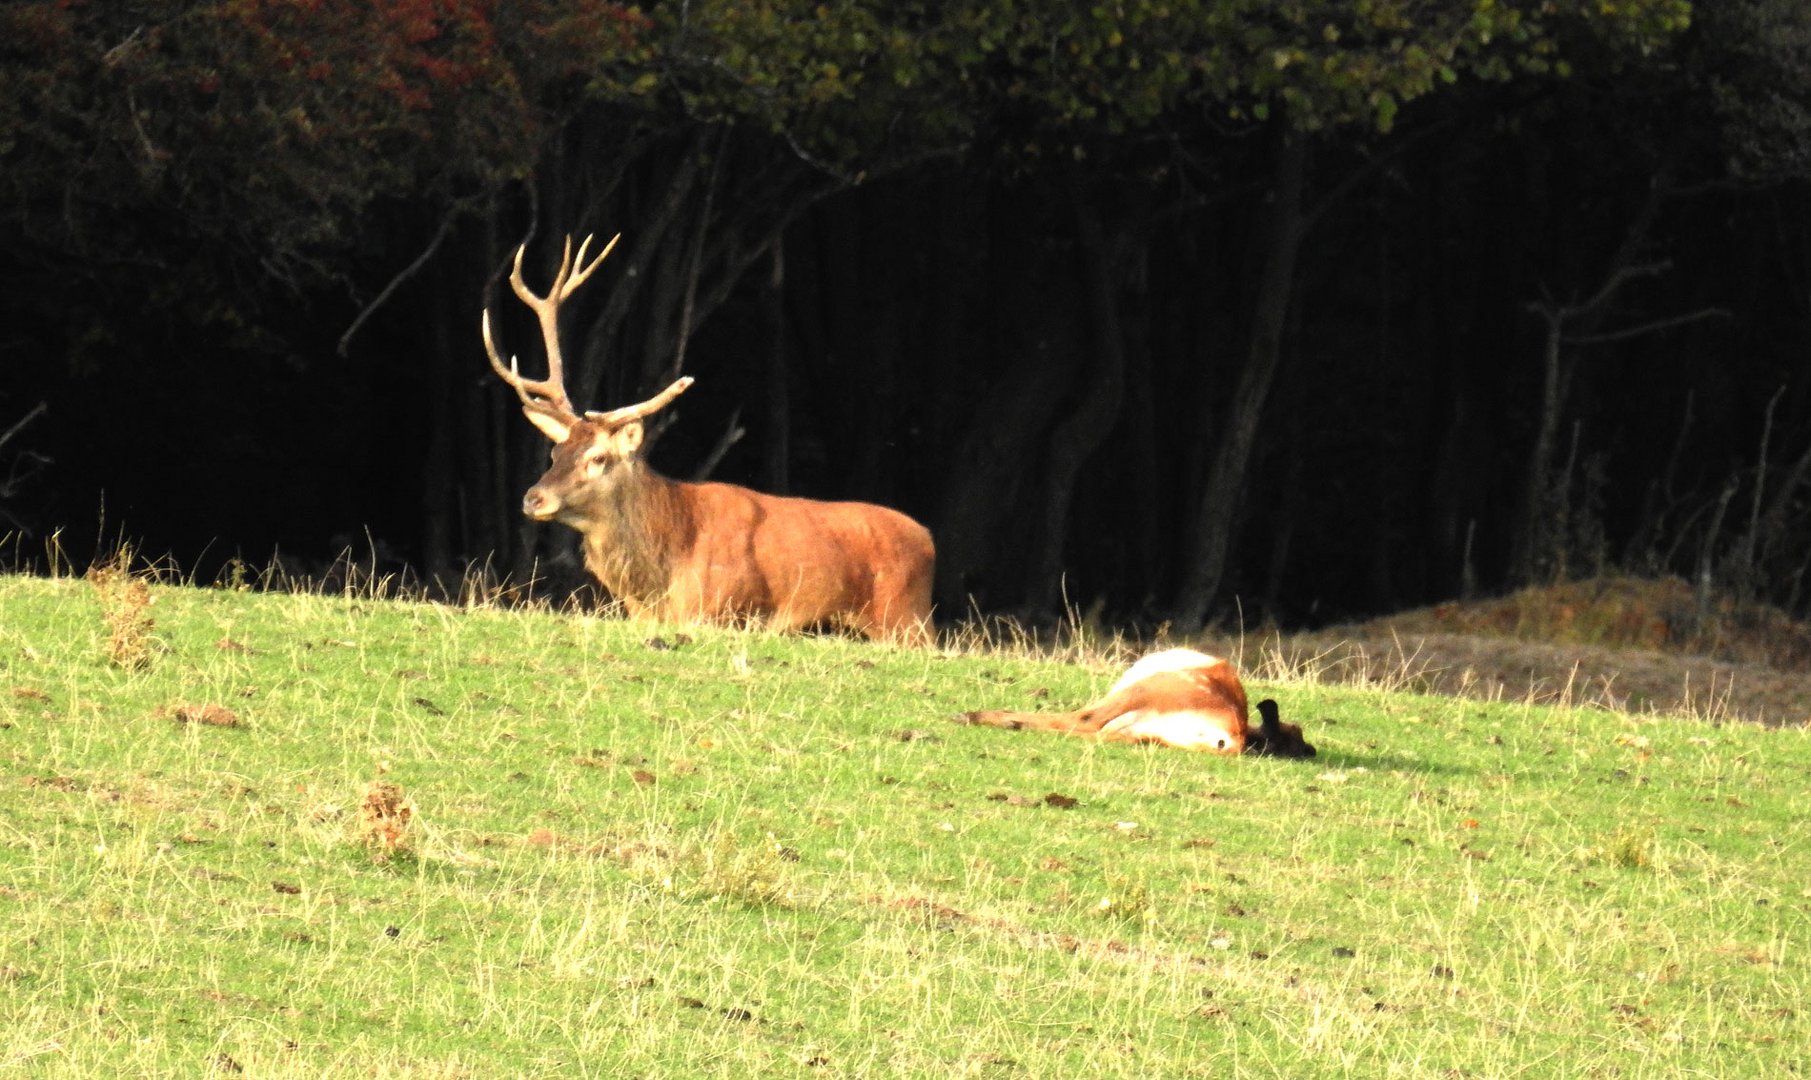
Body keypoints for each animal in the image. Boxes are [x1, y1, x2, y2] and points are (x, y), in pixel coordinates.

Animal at [485, 235, 934, 641]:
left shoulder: (722, 610)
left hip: (905, 619)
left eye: (597, 457)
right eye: (555, 452)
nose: (533, 498)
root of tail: (928, 540)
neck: (666, 569)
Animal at [963, 648, 1318, 761]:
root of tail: (1230, 739)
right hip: (1143, 729)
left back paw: (977, 715)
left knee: (1085, 719)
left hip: (1144, 690)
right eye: (1295, 732)